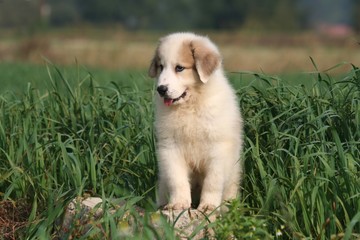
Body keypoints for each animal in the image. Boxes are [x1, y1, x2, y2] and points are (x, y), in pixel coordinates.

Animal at [148, 32, 243, 212]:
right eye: (161, 67)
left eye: (179, 68)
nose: (161, 89)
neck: (190, 106)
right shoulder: (171, 147)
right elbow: (177, 179)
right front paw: (178, 204)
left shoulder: (218, 149)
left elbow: (212, 182)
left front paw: (208, 206)